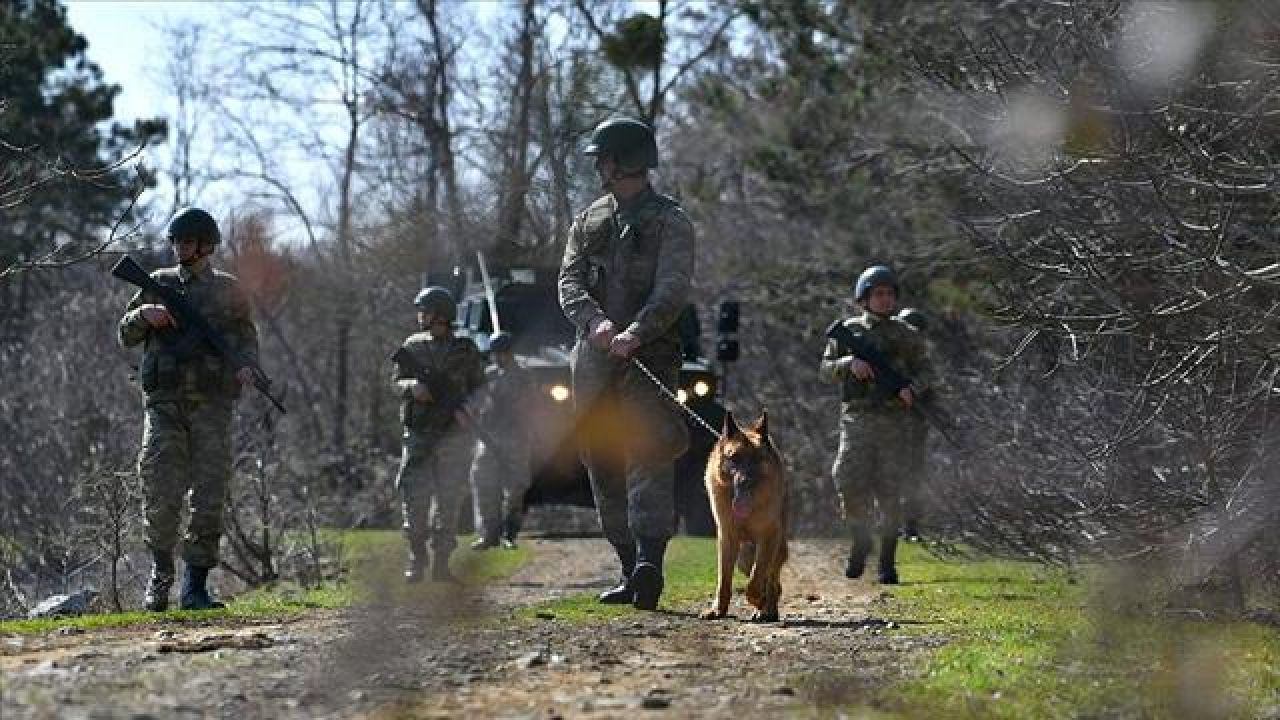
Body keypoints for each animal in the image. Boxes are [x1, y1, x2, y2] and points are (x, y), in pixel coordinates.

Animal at [701, 407, 788, 620]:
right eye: (734, 458)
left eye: (757, 459)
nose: (744, 482)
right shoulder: (727, 538)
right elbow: (723, 580)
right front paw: (718, 610)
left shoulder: (768, 538)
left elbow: (756, 579)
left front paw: (758, 600)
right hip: (744, 557)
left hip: (770, 549)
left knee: (772, 580)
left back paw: (767, 610)